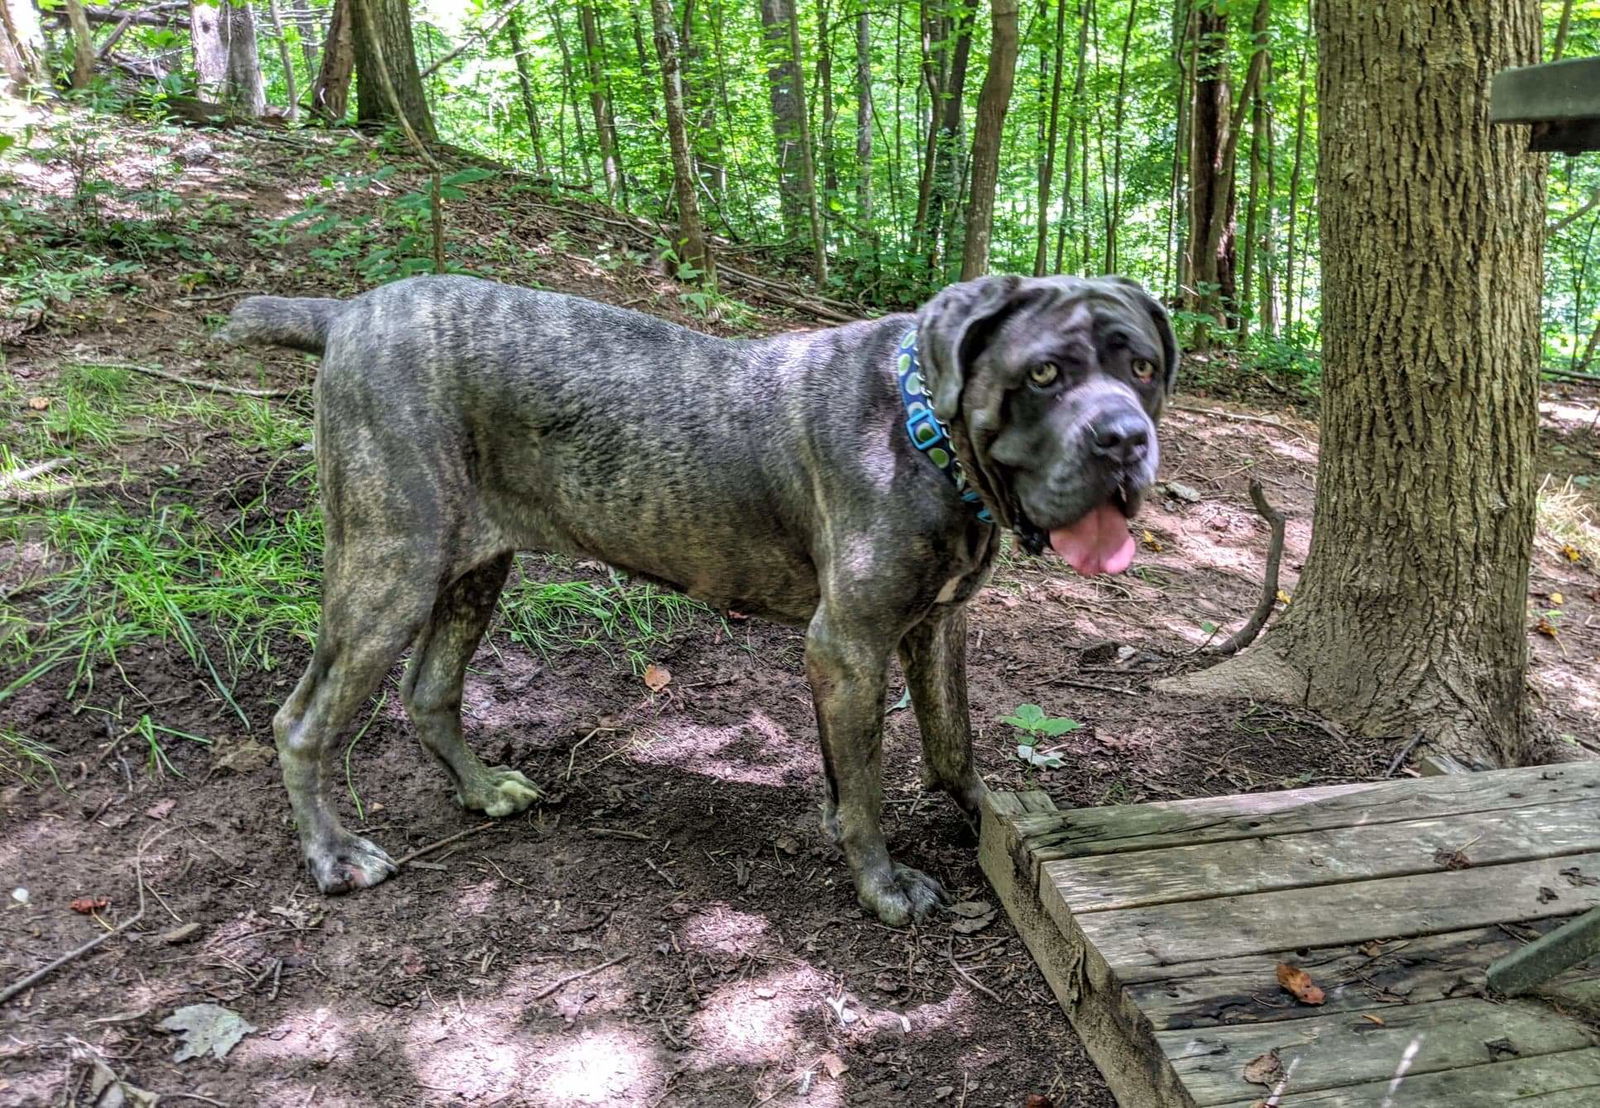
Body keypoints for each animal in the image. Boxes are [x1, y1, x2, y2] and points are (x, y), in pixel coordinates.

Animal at [222, 275, 1177, 928]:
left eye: (1142, 367)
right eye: (1044, 373)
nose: (1125, 440)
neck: (925, 431)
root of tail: (346, 313)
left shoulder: (936, 626)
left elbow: (952, 744)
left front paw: (997, 823)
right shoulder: (850, 646)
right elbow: (866, 787)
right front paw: (883, 885)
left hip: (474, 567)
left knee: (429, 691)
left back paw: (482, 788)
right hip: (391, 567)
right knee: (300, 722)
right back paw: (333, 855)